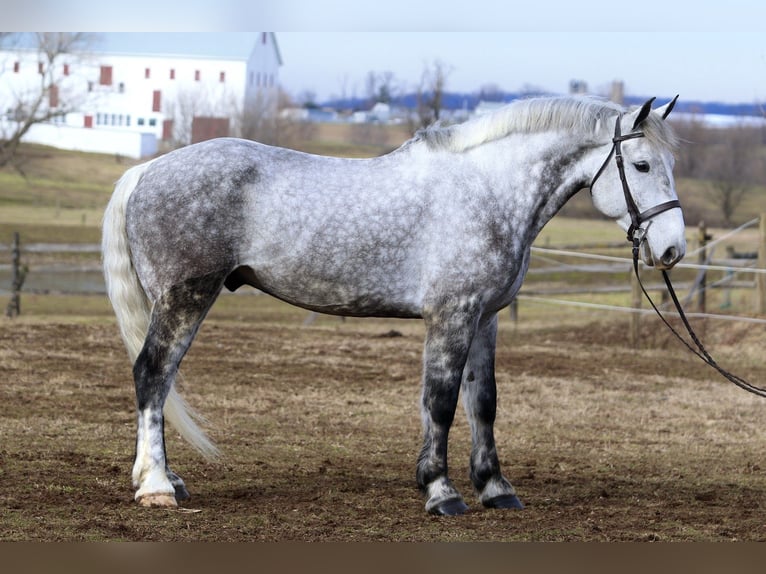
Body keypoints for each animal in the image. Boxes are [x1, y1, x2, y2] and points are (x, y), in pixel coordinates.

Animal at [102, 95, 685, 515]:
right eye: (641, 164)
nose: (672, 250)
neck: (486, 188)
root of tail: (145, 172)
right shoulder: (452, 316)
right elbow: (441, 403)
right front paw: (441, 492)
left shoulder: (485, 319)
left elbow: (484, 403)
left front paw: (495, 488)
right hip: (184, 299)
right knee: (152, 375)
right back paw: (157, 487)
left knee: (160, 383)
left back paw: (166, 477)